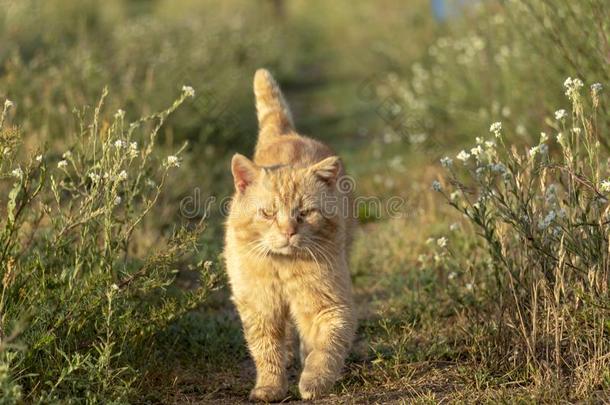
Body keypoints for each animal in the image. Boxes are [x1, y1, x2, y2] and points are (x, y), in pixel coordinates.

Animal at [223, 68, 356, 400]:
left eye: (305, 213)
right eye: (269, 213)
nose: (288, 231)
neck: (283, 267)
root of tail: (286, 134)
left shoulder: (331, 306)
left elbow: (325, 348)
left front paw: (313, 382)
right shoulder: (259, 309)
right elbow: (266, 352)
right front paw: (269, 387)